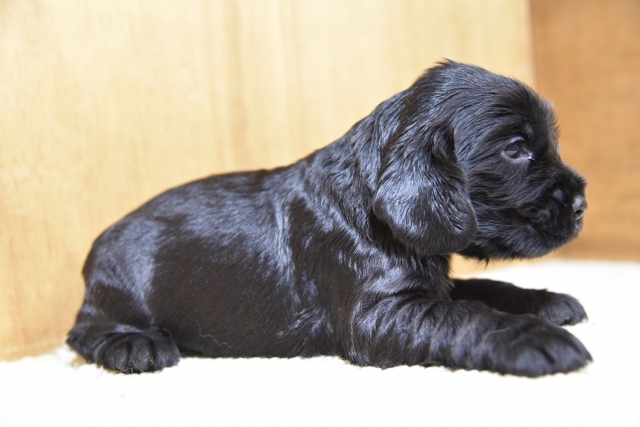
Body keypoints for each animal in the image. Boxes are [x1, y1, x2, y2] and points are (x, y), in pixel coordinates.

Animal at [68, 61, 591, 377]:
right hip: (120, 286)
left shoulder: (428, 282)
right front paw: (538, 338)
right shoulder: (381, 314)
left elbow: (483, 290)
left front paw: (548, 301)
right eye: (516, 149)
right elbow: (469, 315)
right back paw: (136, 346)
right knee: (85, 330)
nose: (583, 203)